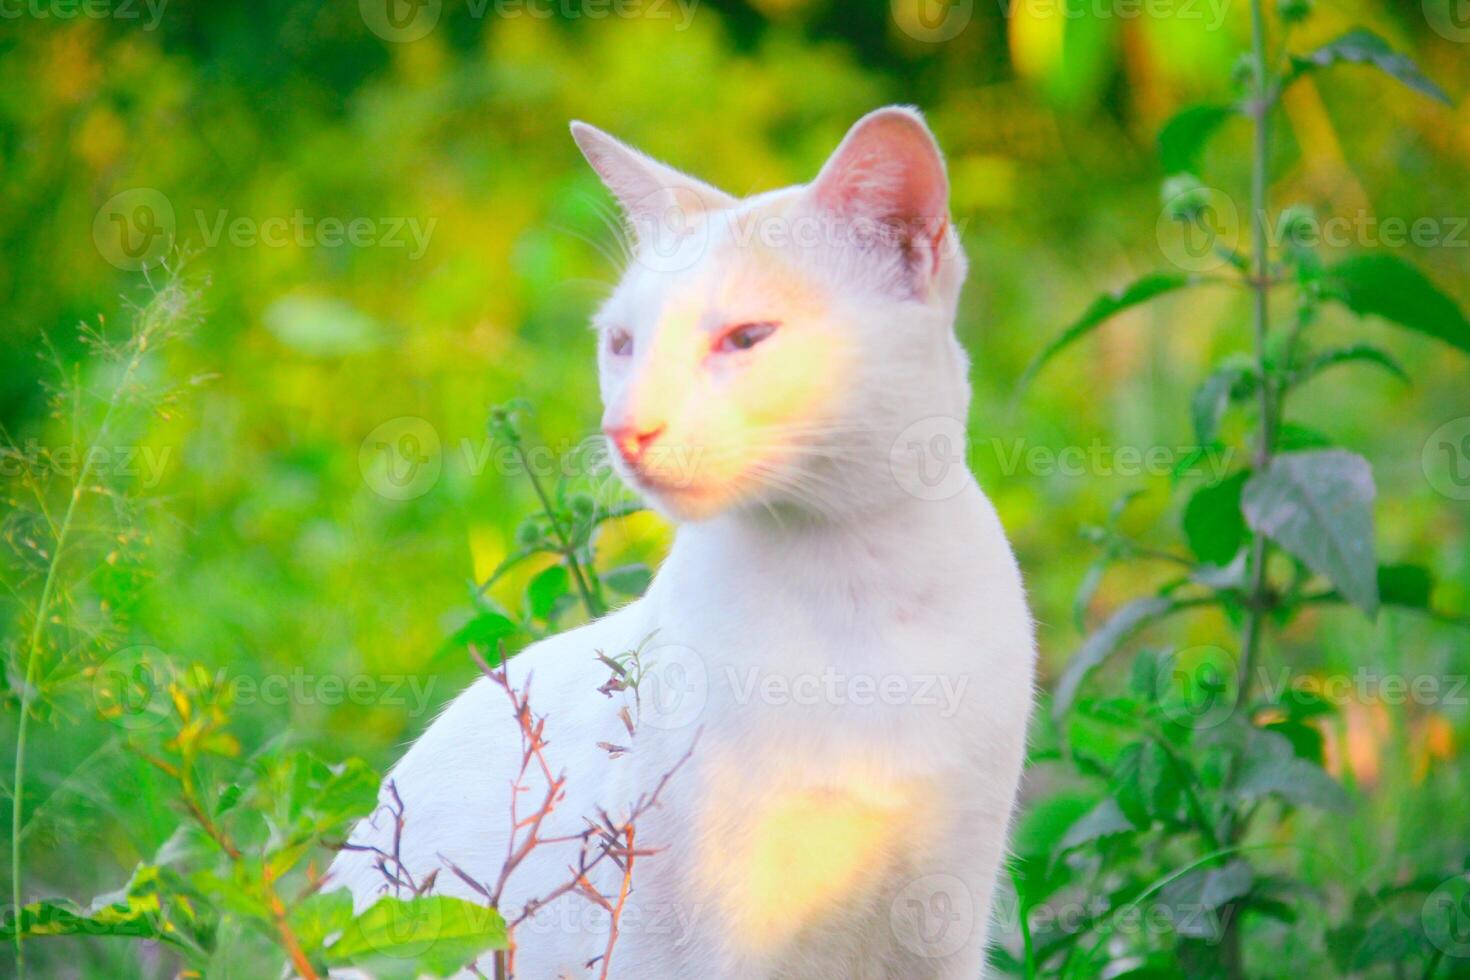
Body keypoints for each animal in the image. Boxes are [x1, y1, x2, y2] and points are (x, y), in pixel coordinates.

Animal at [336, 107, 1034, 980]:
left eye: (747, 337)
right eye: (621, 344)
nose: (625, 428)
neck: (853, 589)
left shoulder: (945, 918)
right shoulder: (696, 938)